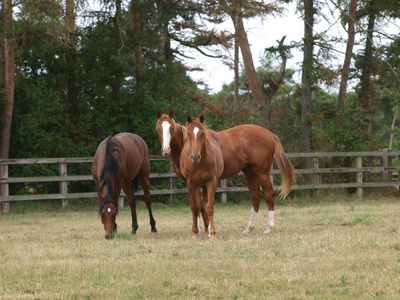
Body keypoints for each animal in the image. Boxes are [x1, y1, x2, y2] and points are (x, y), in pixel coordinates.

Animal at [155, 109, 296, 234]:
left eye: (171, 128)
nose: (166, 149)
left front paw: (203, 229)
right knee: (256, 196)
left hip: (262, 173)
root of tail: (269, 134)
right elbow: (200, 203)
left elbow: (200, 203)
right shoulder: (193, 182)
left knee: (269, 194)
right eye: (158, 129)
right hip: (250, 172)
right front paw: (202, 228)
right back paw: (249, 228)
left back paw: (268, 228)